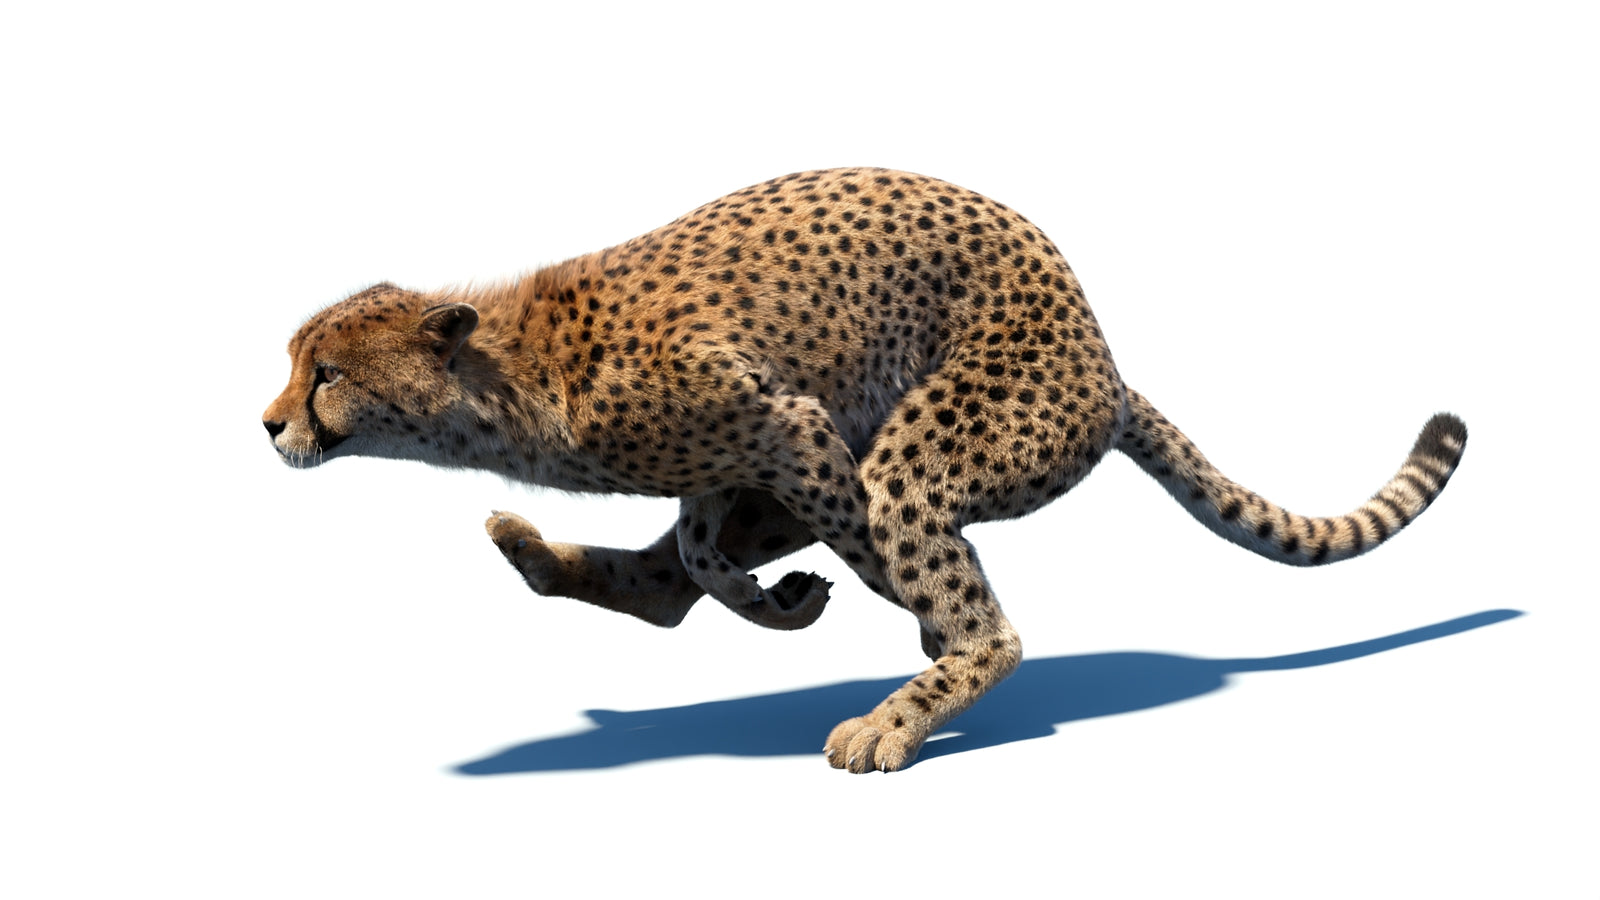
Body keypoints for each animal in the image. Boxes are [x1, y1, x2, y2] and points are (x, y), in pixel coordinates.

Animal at [263, 168, 1468, 773]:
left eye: (326, 373)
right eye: (296, 363)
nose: (268, 424)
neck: (508, 375)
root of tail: (1108, 365)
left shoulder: (792, 427)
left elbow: (861, 553)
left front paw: (894, 616)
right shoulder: (749, 448)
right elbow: (699, 546)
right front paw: (777, 601)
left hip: (926, 440)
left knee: (976, 607)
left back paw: (901, 708)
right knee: (669, 583)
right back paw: (541, 555)